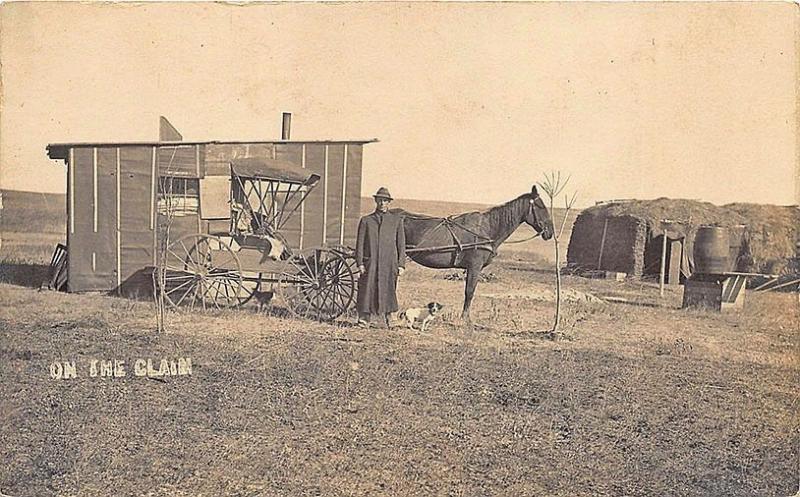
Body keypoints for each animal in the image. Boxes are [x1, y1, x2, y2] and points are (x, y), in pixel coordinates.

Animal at [396, 186, 552, 322]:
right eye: (541, 206)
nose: (550, 232)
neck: (487, 228)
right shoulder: (474, 267)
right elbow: (469, 291)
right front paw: (465, 318)